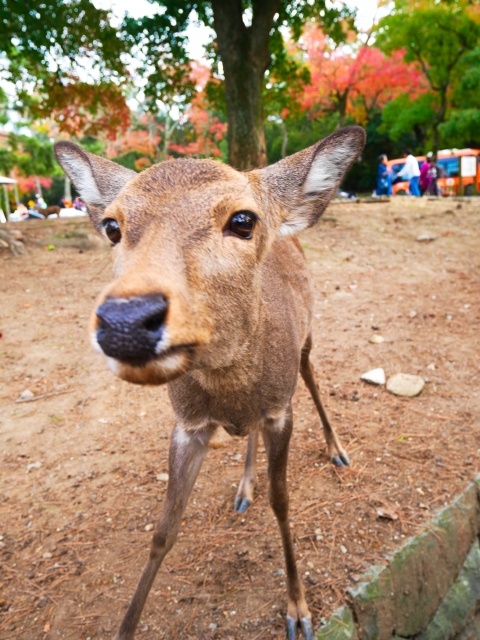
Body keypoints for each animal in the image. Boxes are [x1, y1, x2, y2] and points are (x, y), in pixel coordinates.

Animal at [54, 126, 366, 640]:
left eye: (242, 220)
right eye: (112, 227)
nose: (125, 320)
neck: (230, 388)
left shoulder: (280, 409)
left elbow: (283, 502)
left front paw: (298, 609)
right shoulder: (188, 425)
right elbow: (164, 529)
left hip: (305, 343)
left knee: (313, 379)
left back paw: (337, 448)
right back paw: (243, 488)